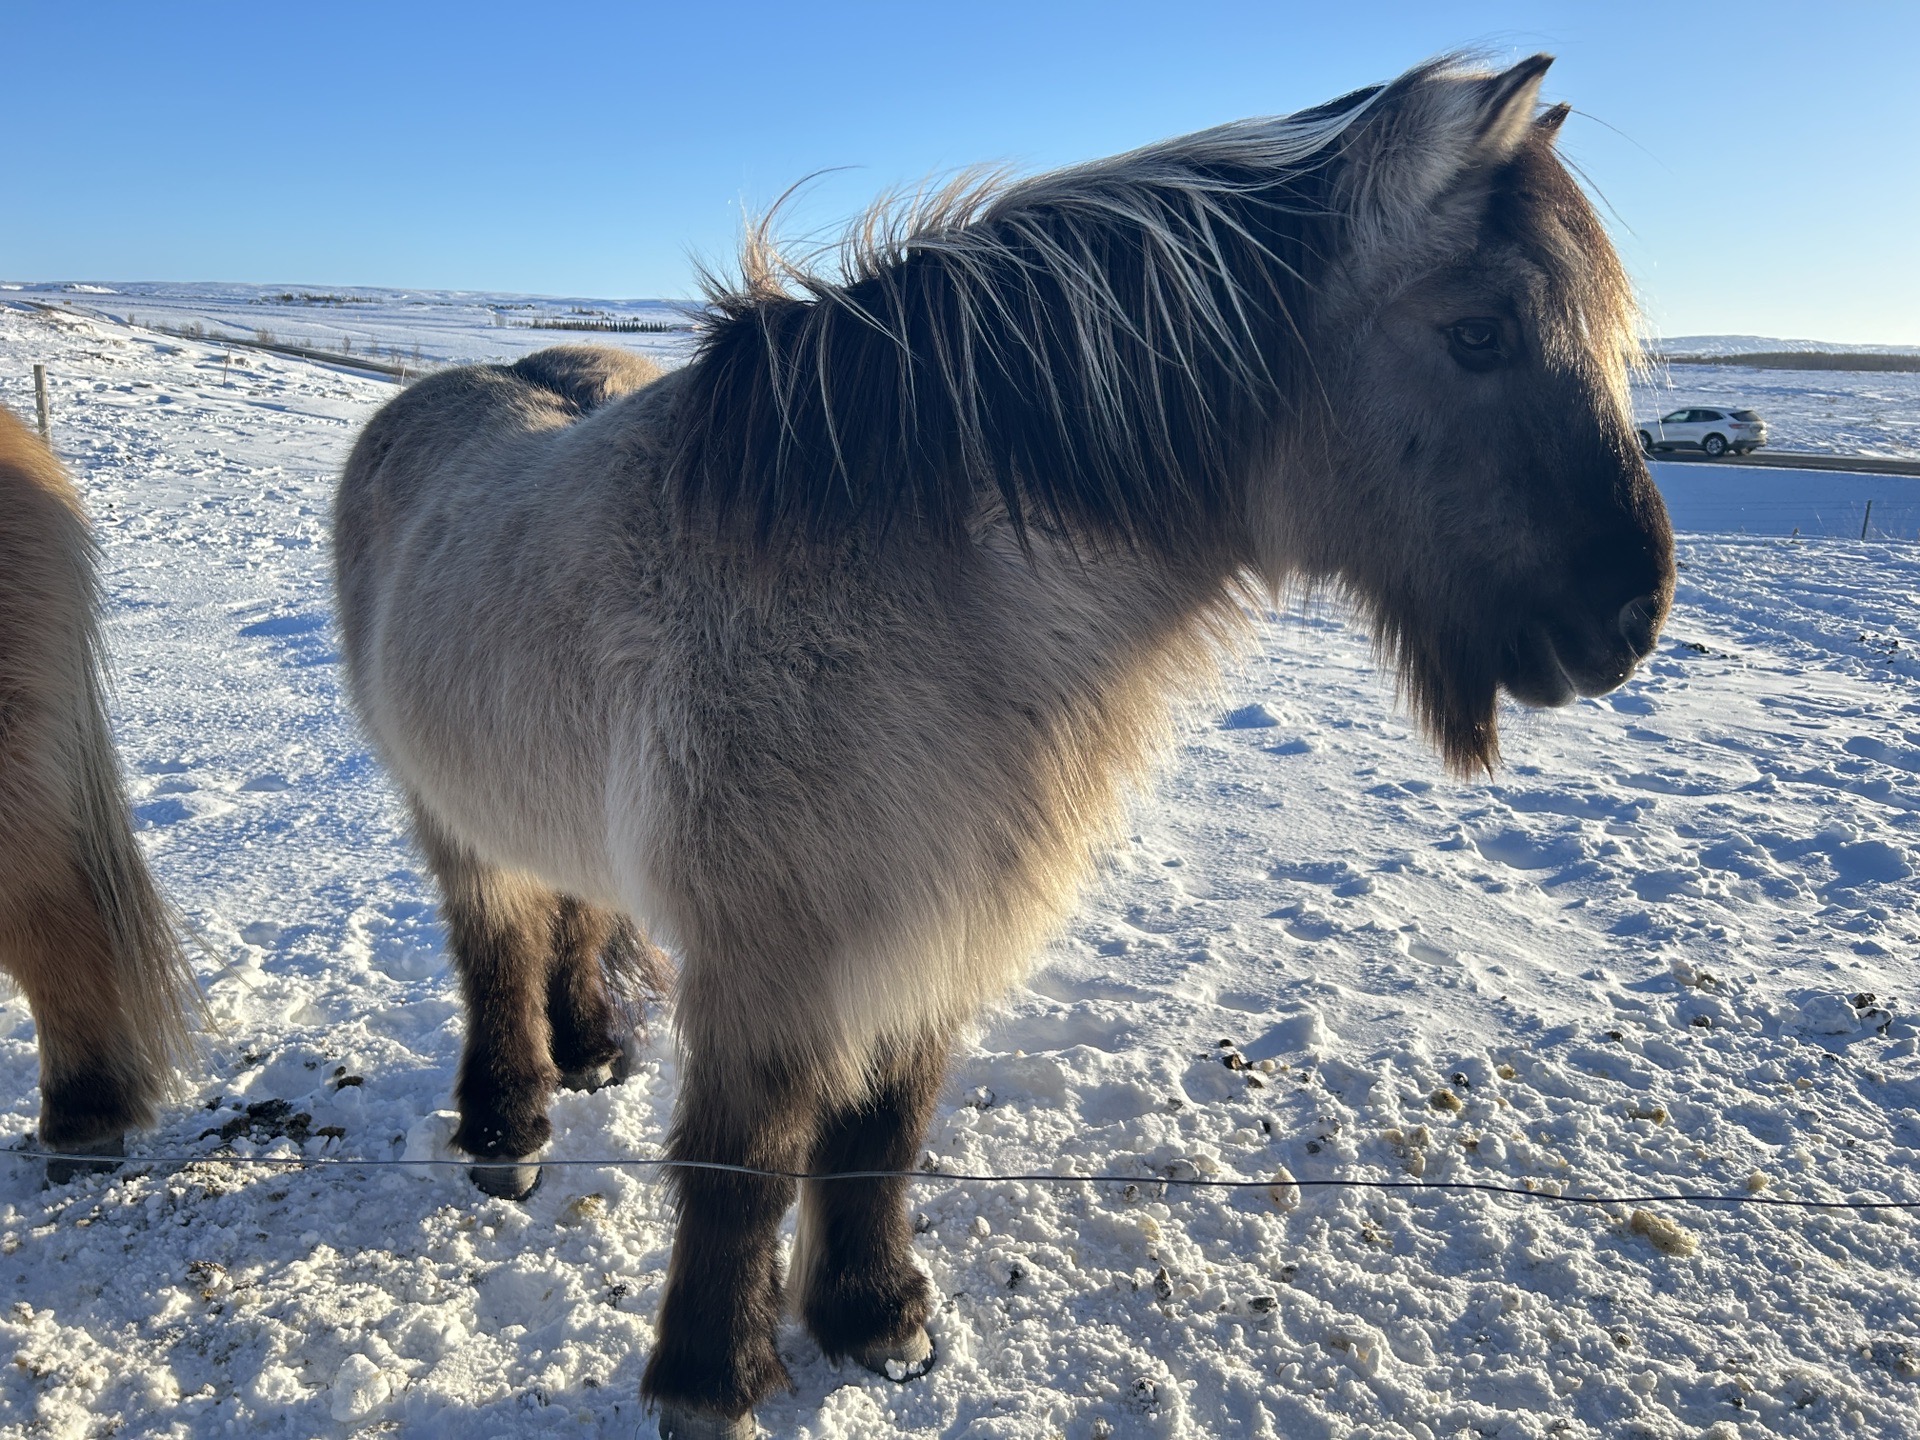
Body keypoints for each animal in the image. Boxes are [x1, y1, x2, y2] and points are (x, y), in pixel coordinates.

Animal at [337, 53, 1674, 1436]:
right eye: (1480, 333)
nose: (1633, 620)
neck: (927, 600)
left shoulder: (940, 927)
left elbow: (878, 1135)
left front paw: (874, 1320)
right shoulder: (774, 963)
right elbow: (742, 1165)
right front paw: (712, 1379)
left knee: (572, 914)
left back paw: (594, 1049)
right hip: (457, 825)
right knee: (497, 949)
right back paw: (509, 1130)